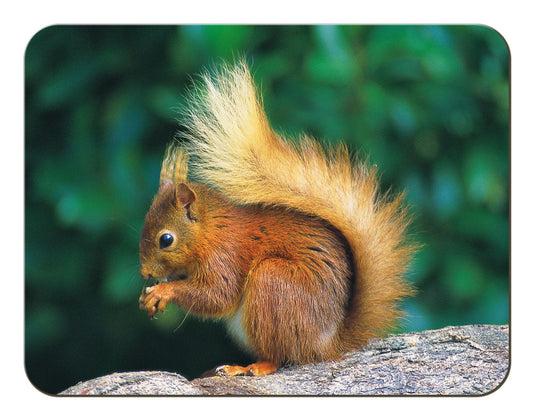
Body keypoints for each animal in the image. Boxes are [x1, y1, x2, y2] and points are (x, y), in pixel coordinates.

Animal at [138, 61, 416, 378]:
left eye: (166, 239)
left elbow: (217, 295)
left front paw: (163, 290)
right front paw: (149, 295)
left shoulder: (225, 257)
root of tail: (325, 344)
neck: (210, 231)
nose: (144, 273)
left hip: (272, 284)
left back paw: (249, 367)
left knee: (279, 356)